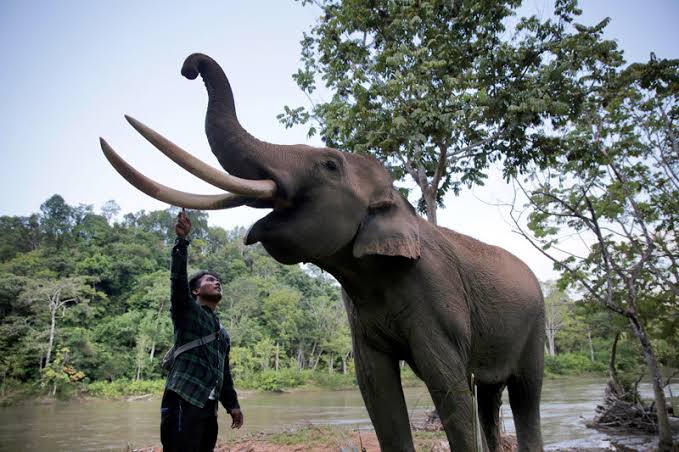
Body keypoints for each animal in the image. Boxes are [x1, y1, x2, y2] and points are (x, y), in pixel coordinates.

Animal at [101, 53, 548, 452]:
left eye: (329, 165)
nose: (189, 68)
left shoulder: (438, 295)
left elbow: (448, 382)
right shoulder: (360, 315)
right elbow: (375, 387)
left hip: (536, 326)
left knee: (525, 393)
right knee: (489, 394)